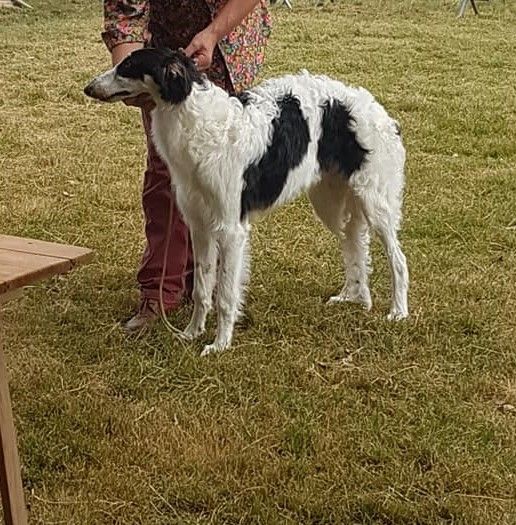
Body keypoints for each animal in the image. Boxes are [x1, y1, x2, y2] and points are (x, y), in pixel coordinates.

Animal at [84, 48, 409, 356]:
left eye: (128, 66)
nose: (88, 88)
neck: (198, 122)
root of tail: (379, 111)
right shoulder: (198, 225)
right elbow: (202, 289)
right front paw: (191, 333)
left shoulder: (231, 229)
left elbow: (225, 295)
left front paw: (219, 344)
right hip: (330, 204)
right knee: (356, 245)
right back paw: (353, 297)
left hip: (375, 203)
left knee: (398, 259)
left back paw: (398, 312)